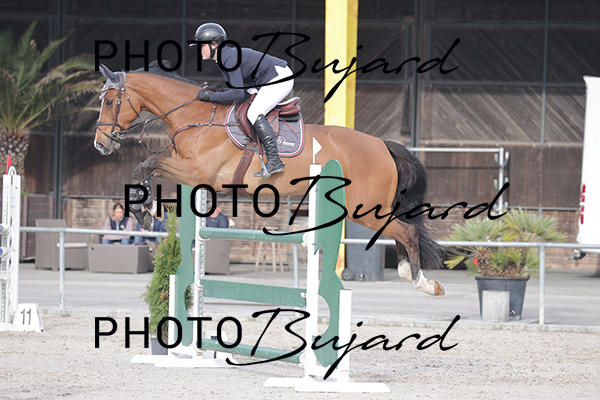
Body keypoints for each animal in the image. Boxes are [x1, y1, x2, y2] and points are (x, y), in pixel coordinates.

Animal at [94, 64, 445, 296]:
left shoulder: (197, 172)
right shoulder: (190, 173)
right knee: (401, 229)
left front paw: (143, 212)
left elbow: (148, 163)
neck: (196, 117)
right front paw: (145, 209)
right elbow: (145, 169)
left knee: (407, 231)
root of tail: (382, 144)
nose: (100, 144)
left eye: (110, 102)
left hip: (366, 208)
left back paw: (422, 281)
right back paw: (410, 273)